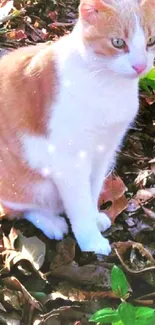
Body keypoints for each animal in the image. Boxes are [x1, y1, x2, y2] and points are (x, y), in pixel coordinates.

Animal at [0, 0, 155, 253]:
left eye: (151, 41)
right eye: (118, 42)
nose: (141, 66)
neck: (106, 84)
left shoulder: (104, 151)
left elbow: (91, 192)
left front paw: (94, 217)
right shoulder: (70, 161)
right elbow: (79, 204)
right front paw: (91, 240)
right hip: (26, 182)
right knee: (19, 208)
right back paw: (51, 222)